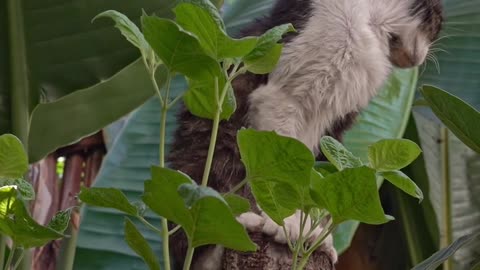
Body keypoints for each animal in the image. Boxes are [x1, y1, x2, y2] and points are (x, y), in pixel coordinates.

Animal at [169, 0, 442, 268]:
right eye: (438, 25)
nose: (422, 59)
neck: (371, 20)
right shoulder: (284, 97)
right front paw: (284, 221)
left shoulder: (333, 128)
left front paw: (314, 233)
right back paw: (243, 224)